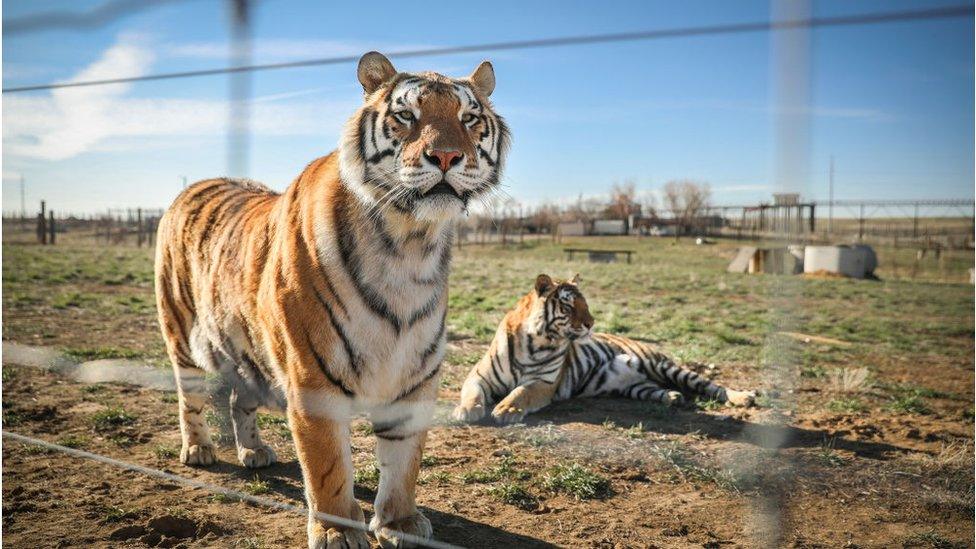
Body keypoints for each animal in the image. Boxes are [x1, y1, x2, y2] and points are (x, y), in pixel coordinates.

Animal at [156, 52, 508, 548]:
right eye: (407, 115)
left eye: (469, 118)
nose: (446, 156)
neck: (409, 243)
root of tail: (192, 185)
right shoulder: (312, 379)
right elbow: (327, 467)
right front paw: (336, 530)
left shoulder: (415, 377)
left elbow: (404, 464)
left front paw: (400, 523)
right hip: (181, 331)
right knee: (189, 396)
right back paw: (199, 449)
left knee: (239, 398)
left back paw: (254, 450)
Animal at [454, 274, 760, 424]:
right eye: (569, 306)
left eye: (586, 304)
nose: (591, 323)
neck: (534, 341)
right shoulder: (479, 376)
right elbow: (472, 393)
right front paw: (465, 410)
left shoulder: (544, 383)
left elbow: (520, 392)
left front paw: (506, 410)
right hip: (636, 386)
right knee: (655, 389)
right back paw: (673, 398)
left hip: (664, 365)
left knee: (711, 386)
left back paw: (743, 397)